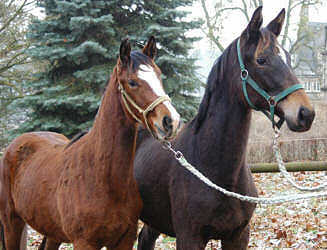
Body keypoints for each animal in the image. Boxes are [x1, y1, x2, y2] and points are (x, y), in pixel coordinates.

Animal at [0, 36, 182, 249]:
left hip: (53, 232)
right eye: (132, 82)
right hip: (12, 222)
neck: (101, 174)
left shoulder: (124, 240)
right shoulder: (84, 242)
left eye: (160, 76)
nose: (171, 121)